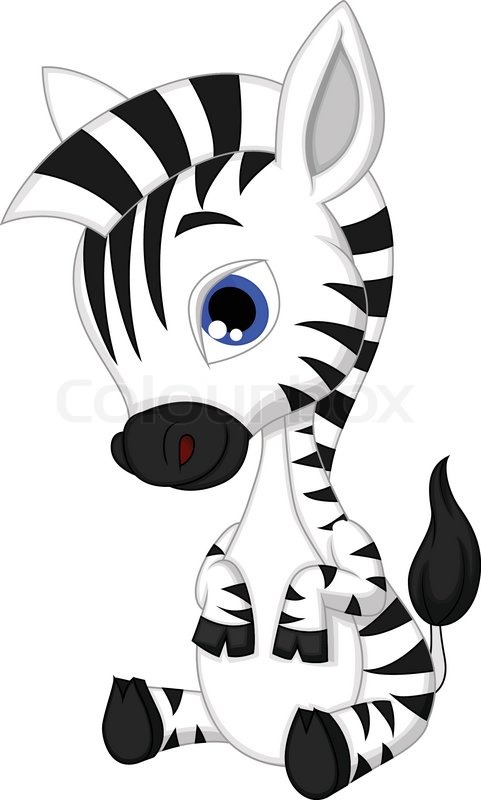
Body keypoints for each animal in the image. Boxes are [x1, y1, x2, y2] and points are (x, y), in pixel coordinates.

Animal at [3, 3, 480, 798]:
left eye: (234, 310)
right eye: (102, 331)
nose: (154, 450)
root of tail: (254, 755)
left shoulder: (363, 566)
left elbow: (342, 582)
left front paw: (294, 617)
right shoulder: (219, 540)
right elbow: (210, 570)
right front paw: (227, 613)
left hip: (395, 701)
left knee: (347, 741)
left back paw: (317, 744)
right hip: (206, 714)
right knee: (164, 722)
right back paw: (135, 711)